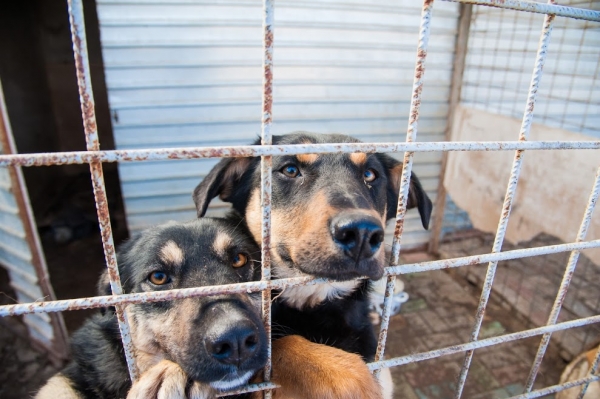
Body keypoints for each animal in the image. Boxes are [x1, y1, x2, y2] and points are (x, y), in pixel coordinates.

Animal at [192, 131, 432, 394]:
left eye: (370, 174)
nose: (362, 232)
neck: (315, 301)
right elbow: (278, 342)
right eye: (290, 170)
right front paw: (341, 374)